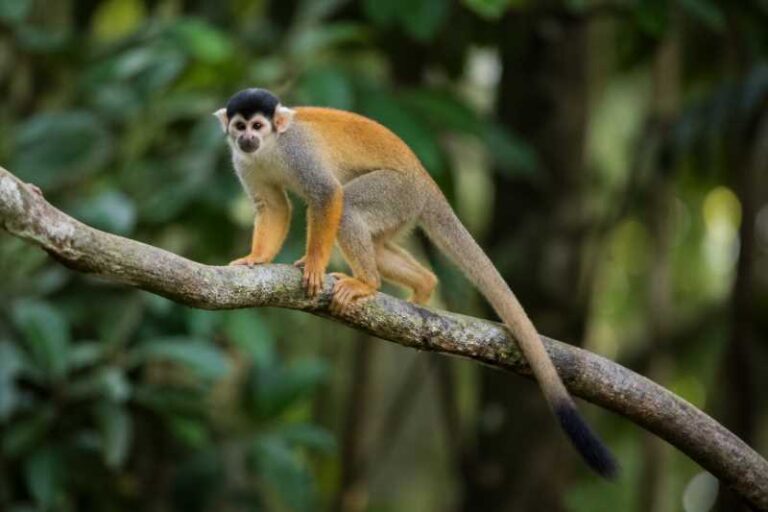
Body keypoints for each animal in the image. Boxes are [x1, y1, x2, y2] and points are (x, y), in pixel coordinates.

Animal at [215, 88, 618, 478]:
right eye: (239, 126)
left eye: (257, 126)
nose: (247, 138)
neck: (270, 148)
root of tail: (426, 180)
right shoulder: (243, 162)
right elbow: (272, 205)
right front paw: (257, 258)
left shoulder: (298, 151)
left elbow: (328, 196)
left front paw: (314, 263)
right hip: (403, 208)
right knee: (377, 243)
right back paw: (423, 284)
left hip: (397, 191)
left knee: (349, 208)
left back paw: (367, 282)